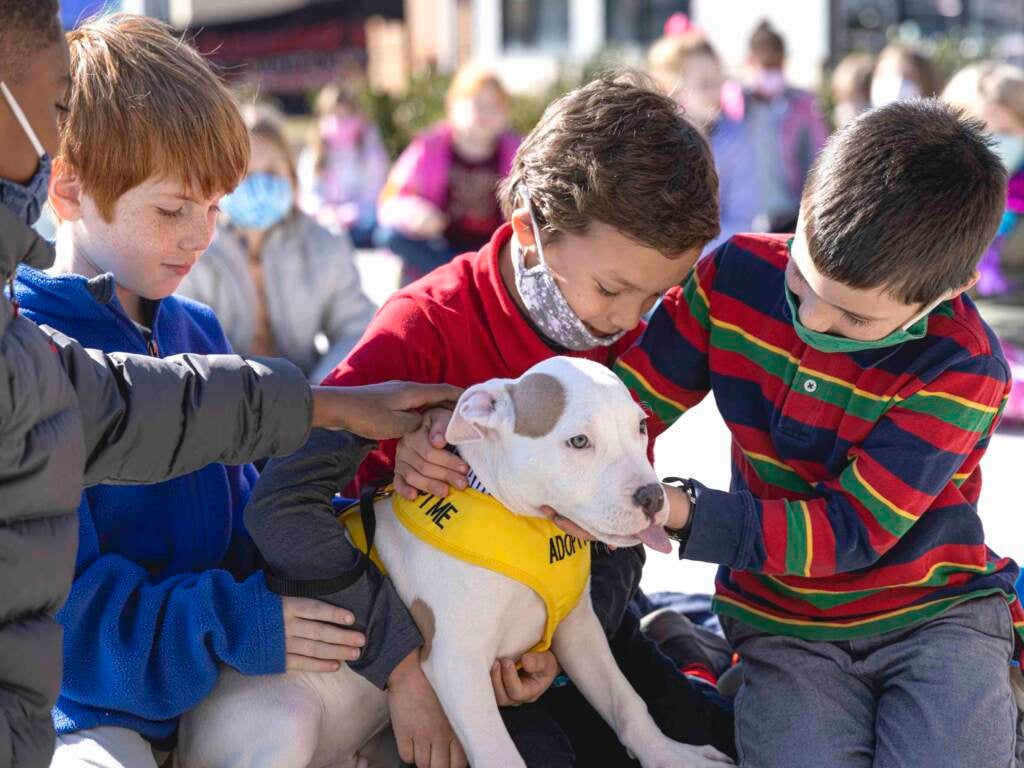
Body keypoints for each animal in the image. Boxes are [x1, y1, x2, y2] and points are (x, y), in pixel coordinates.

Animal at [180, 360, 733, 768]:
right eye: (578, 441)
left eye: (639, 427)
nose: (652, 498)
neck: (523, 523)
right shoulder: (456, 663)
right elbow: (499, 753)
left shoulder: (580, 630)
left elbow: (626, 700)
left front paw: (673, 756)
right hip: (285, 720)